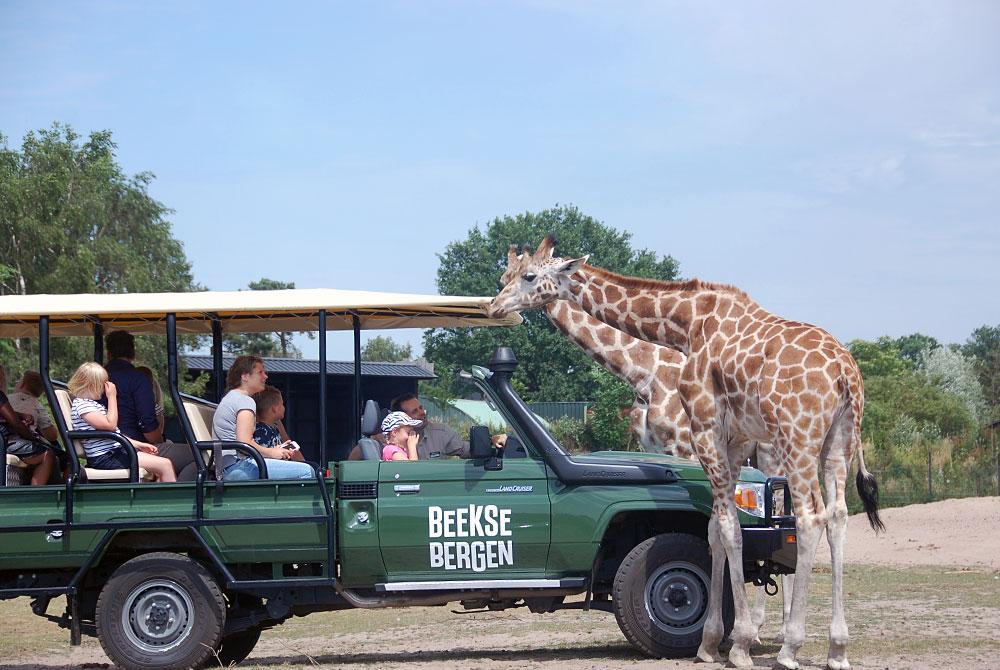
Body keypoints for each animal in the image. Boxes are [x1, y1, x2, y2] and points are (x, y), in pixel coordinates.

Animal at [500, 247, 696, 462]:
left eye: (527, 276)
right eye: (505, 276)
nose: (496, 306)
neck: (645, 376)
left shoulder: (684, 447)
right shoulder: (652, 447)